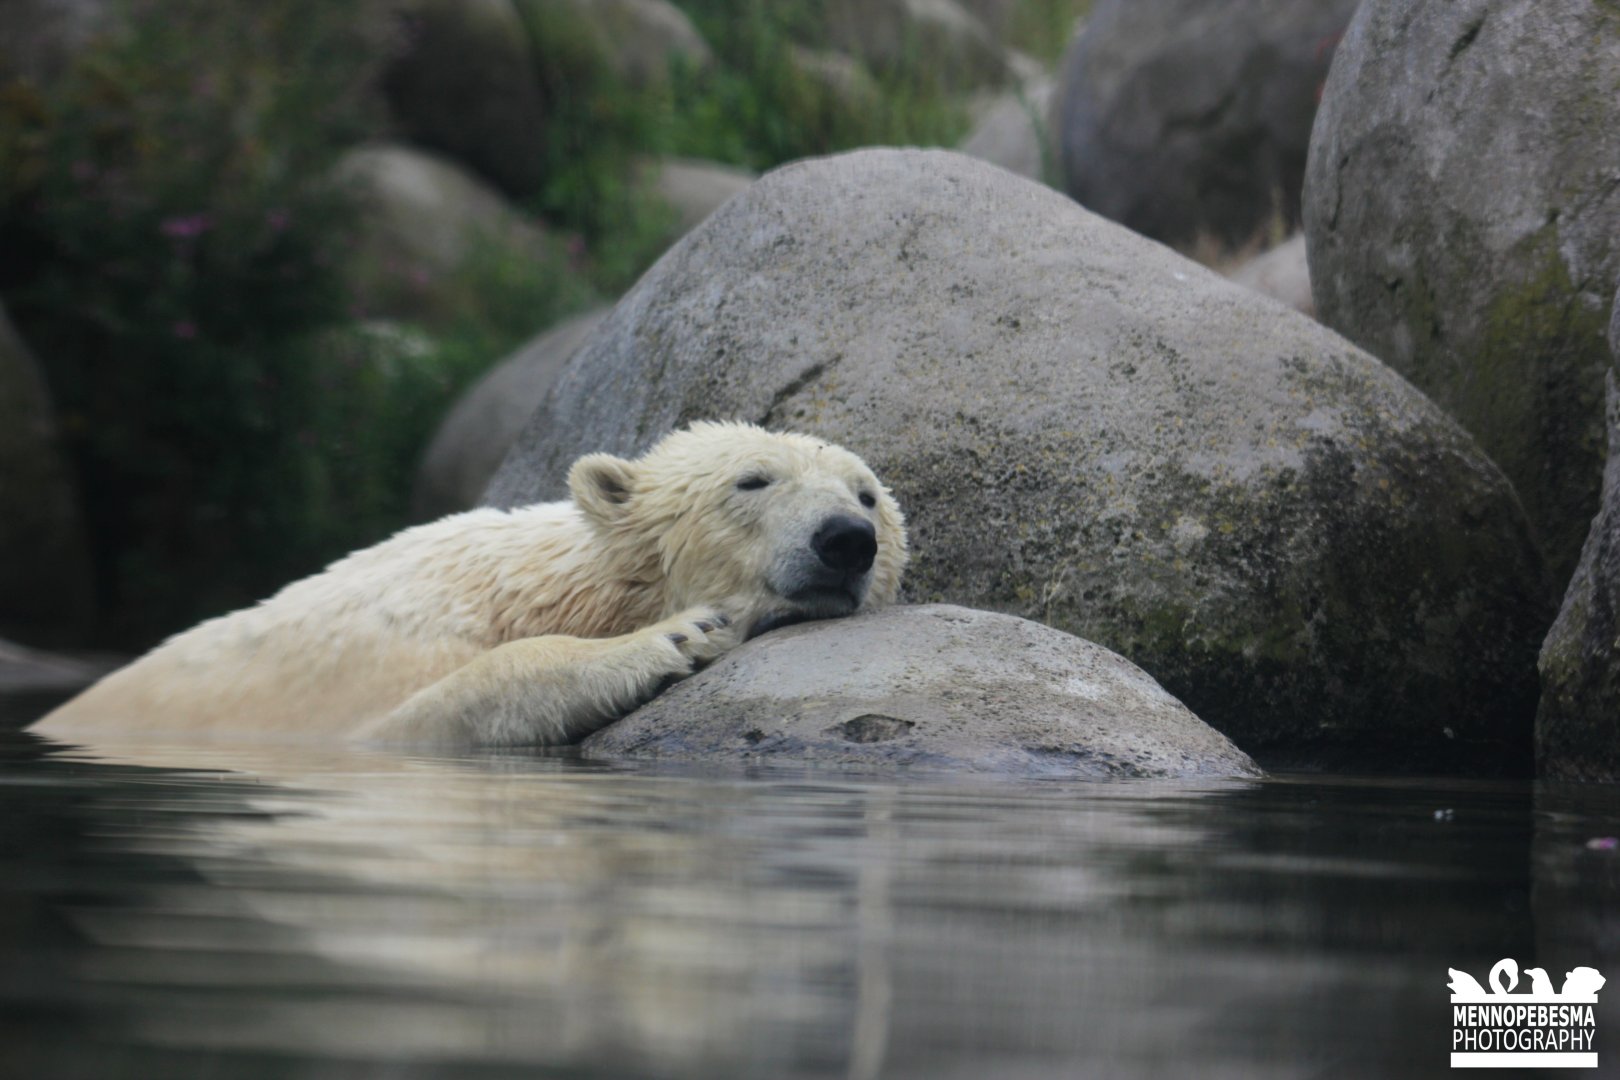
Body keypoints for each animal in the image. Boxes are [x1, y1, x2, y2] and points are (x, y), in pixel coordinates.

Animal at [32, 422, 908, 748]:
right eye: (753, 480)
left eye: (866, 495)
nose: (845, 541)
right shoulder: (375, 664)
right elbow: (417, 718)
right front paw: (682, 634)